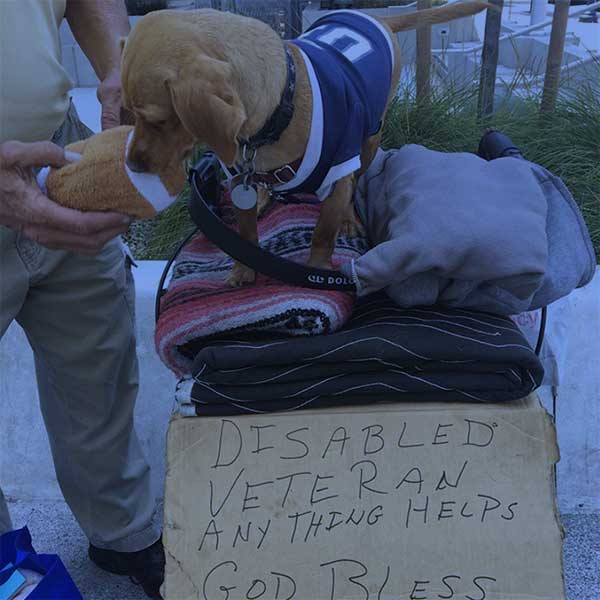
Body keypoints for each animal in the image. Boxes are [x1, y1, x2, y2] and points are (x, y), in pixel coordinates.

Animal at [120, 4, 488, 286]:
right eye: (128, 113)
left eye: (157, 120)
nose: (132, 165)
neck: (279, 109)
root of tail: (375, 18)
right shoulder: (239, 179)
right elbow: (246, 233)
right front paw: (244, 267)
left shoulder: (337, 176)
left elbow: (323, 231)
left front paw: (317, 268)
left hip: (369, 140)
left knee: (356, 180)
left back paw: (348, 217)